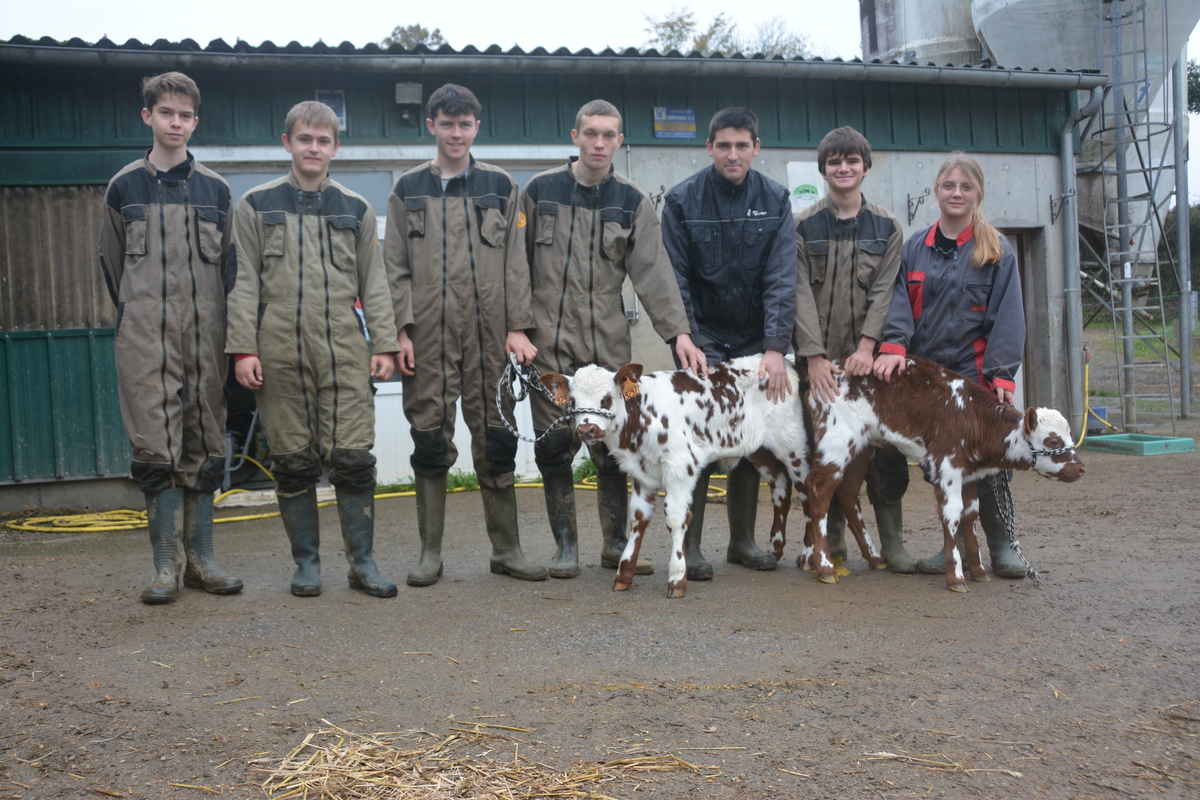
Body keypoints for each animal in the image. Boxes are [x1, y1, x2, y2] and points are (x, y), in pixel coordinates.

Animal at [542, 357, 806, 599]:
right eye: (573, 401)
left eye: (607, 398)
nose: (586, 430)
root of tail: (785, 362)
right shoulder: (641, 472)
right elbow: (638, 519)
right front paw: (624, 575)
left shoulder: (680, 466)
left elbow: (677, 519)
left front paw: (677, 577)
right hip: (758, 449)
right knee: (781, 485)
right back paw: (775, 547)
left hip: (793, 445)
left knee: (807, 490)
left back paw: (807, 556)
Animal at [806, 355, 1089, 587]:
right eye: (1053, 441)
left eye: (1068, 435)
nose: (1081, 468)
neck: (974, 419)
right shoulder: (947, 466)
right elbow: (952, 515)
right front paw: (956, 576)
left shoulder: (970, 473)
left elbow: (971, 515)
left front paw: (978, 570)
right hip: (837, 440)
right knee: (818, 490)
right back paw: (824, 567)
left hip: (863, 446)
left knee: (847, 492)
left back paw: (873, 558)